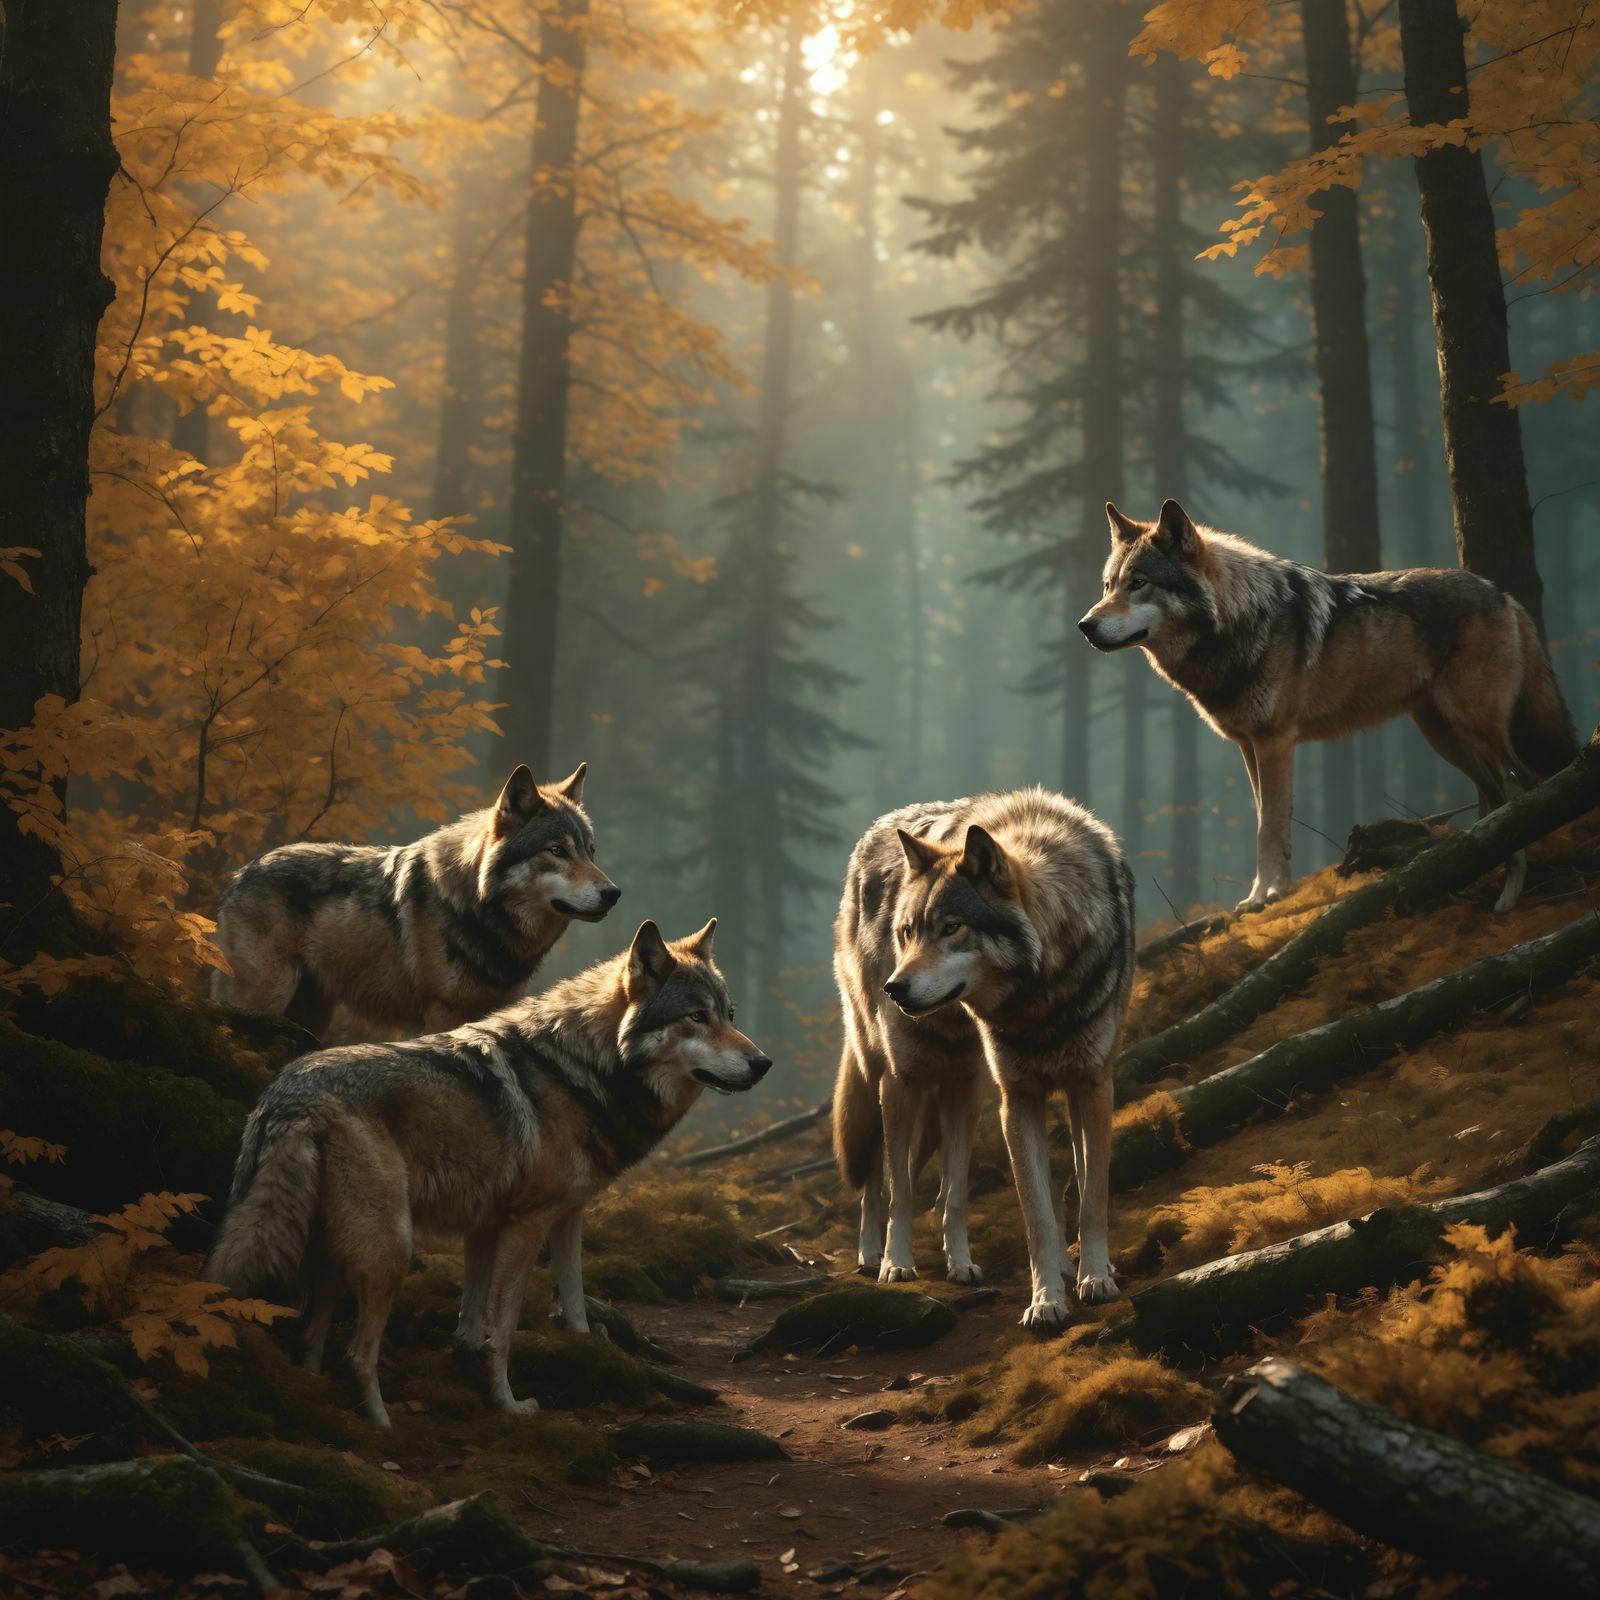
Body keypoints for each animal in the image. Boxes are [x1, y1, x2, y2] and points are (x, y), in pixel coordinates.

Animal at [205, 918, 770, 1426]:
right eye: (696, 1016)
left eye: (730, 1014)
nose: (763, 1063)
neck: (585, 1069)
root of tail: (289, 1092)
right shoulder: (525, 1223)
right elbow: (503, 1330)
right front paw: (507, 1404)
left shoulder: (528, 1221)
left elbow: (554, 1310)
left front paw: (581, 1358)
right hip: (391, 1249)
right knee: (357, 1352)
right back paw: (382, 1426)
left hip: (337, 1254)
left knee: (313, 1335)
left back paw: (319, 1401)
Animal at [211, 763, 619, 1037]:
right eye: (556, 851)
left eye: (590, 851)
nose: (613, 894)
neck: (478, 910)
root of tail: (239, 875)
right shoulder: (441, 1013)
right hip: (266, 994)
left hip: (310, 1013)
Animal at [832, 789, 1135, 1329]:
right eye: (907, 932)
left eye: (952, 928)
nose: (894, 989)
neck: (1042, 995)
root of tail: (875, 831)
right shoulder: (1015, 1098)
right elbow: (1035, 1215)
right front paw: (1046, 1301)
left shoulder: (1091, 1085)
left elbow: (1089, 1196)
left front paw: (1094, 1277)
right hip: (895, 1078)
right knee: (887, 1182)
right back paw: (884, 1259)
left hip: (962, 1088)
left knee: (939, 1189)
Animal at [1079, 501, 1578, 913]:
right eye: (1107, 585)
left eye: (1139, 583)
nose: (1085, 625)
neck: (1238, 620)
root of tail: (1504, 594)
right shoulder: (1248, 746)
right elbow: (1265, 820)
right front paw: (1263, 895)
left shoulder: (1275, 741)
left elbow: (1269, 828)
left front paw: (1268, 897)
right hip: (1443, 735)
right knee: (1496, 794)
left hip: (1473, 728)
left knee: (1521, 785)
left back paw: (1513, 890)